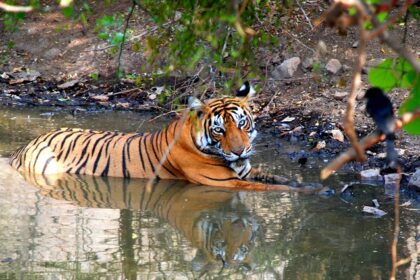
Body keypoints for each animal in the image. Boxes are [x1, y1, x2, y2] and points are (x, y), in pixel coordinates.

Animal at [9, 82, 318, 192]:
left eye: (242, 124)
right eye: (219, 129)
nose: (241, 151)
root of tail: (23, 148)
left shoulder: (245, 171)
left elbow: (278, 178)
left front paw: (308, 185)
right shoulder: (227, 183)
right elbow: (272, 188)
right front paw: (316, 192)